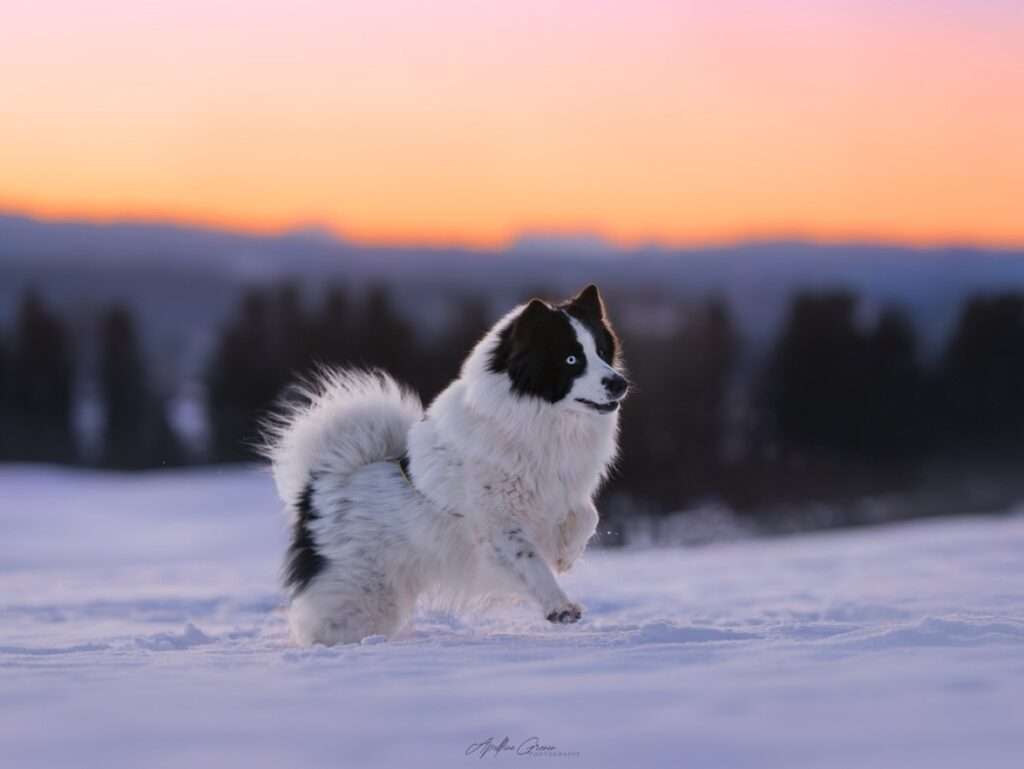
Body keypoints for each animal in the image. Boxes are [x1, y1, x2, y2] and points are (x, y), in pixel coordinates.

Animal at [264, 282, 626, 643]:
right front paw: (560, 607)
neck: (537, 420)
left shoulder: (562, 495)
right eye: (571, 359)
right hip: (361, 596)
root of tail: (317, 485)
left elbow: (587, 516)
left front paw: (566, 556)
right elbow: (530, 561)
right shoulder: (498, 524)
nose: (619, 383)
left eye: (602, 353)